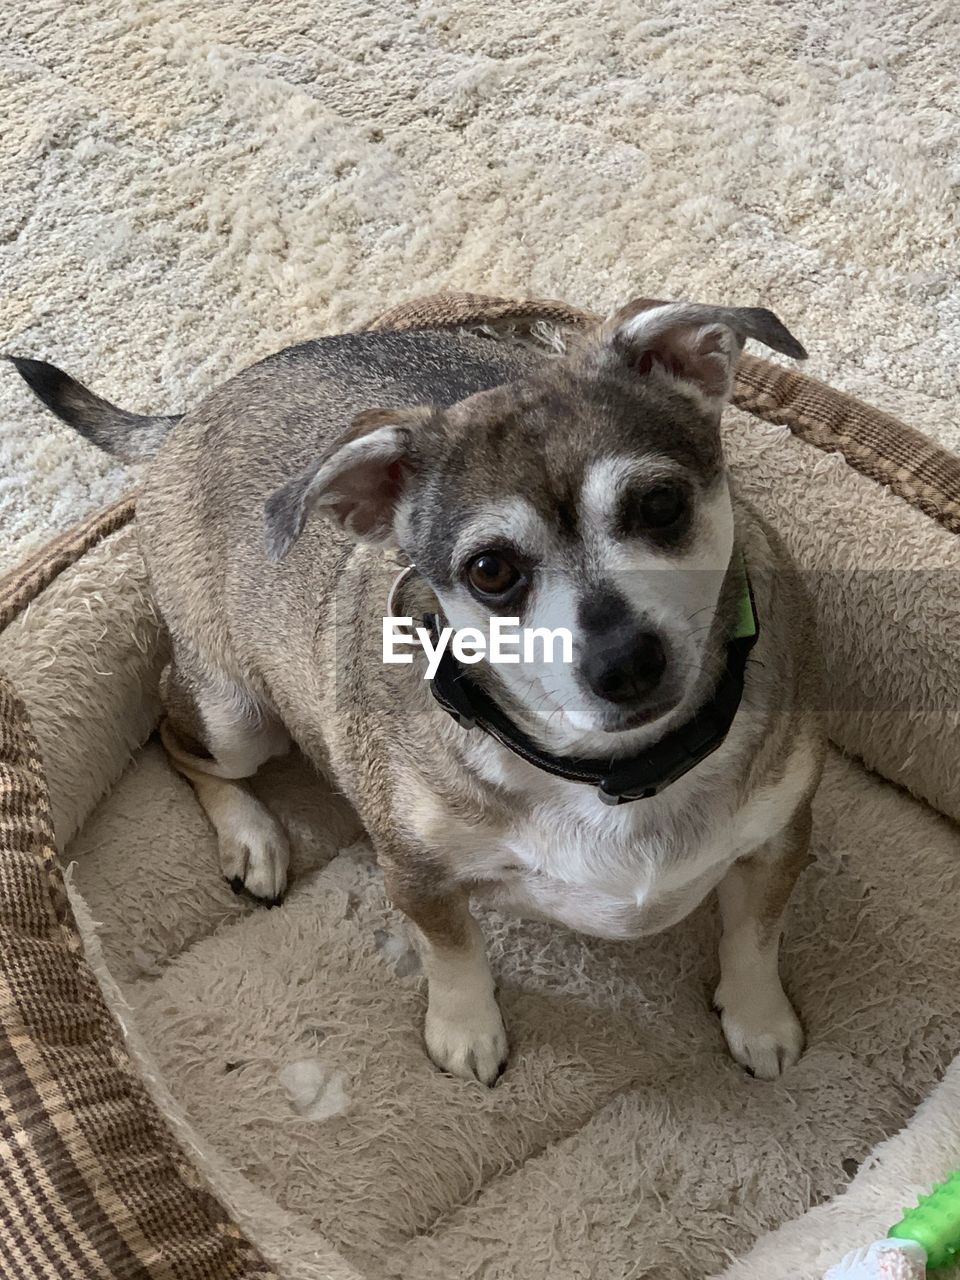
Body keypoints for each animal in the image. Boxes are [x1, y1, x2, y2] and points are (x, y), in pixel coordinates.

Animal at [13, 296, 829, 1080]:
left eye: (660, 505)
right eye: (490, 571)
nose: (625, 661)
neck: (615, 770)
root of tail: (191, 416)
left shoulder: (778, 841)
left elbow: (755, 937)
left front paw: (758, 1019)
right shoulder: (417, 876)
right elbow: (454, 952)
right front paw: (466, 1032)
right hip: (234, 716)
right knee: (173, 733)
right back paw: (252, 837)